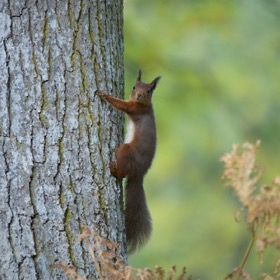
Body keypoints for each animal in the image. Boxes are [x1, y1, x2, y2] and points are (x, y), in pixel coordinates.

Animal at [98, 70, 161, 254]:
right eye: (134, 87)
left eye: (149, 91)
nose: (139, 95)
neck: (144, 104)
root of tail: (140, 173)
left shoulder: (135, 109)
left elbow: (121, 105)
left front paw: (105, 95)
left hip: (126, 150)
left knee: (121, 174)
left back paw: (113, 170)